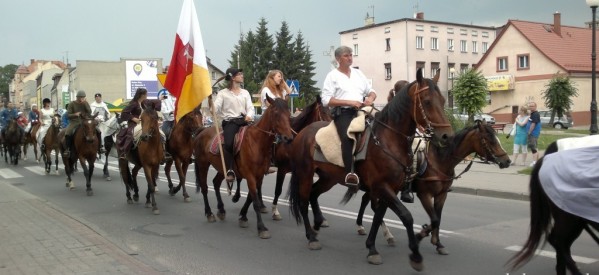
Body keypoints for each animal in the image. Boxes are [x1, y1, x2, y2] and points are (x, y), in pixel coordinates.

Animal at [193, 96, 294, 239]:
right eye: (276, 113)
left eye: (289, 114)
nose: (288, 138)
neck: (257, 142)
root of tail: (202, 130)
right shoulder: (250, 175)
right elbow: (255, 201)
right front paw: (261, 227)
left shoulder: (259, 175)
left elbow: (251, 197)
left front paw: (243, 216)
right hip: (203, 165)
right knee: (204, 188)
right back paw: (209, 213)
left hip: (222, 167)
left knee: (216, 183)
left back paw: (221, 210)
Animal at [288, 69, 452, 272]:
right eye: (427, 101)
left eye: (443, 101)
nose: (447, 136)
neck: (388, 140)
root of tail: (302, 133)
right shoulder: (382, 186)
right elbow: (406, 216)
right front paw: (415, 254)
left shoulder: (389, 188)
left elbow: (378, 216)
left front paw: (372, 248)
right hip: (305, 174)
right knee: (303, 202)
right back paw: (311, 237)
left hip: (328, 178)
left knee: (313, 194)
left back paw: (317, 225)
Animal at [354, 122, 512, 254]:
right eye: (490, 140)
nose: (507, 161)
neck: (440, 160)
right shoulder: (424, 194)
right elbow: (435, 219)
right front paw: (420, 235)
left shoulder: (442, 195)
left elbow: (438, 218)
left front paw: (437, 243)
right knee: (374, 206)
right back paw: (382, 233)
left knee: (368, 202)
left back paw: (364, 228)